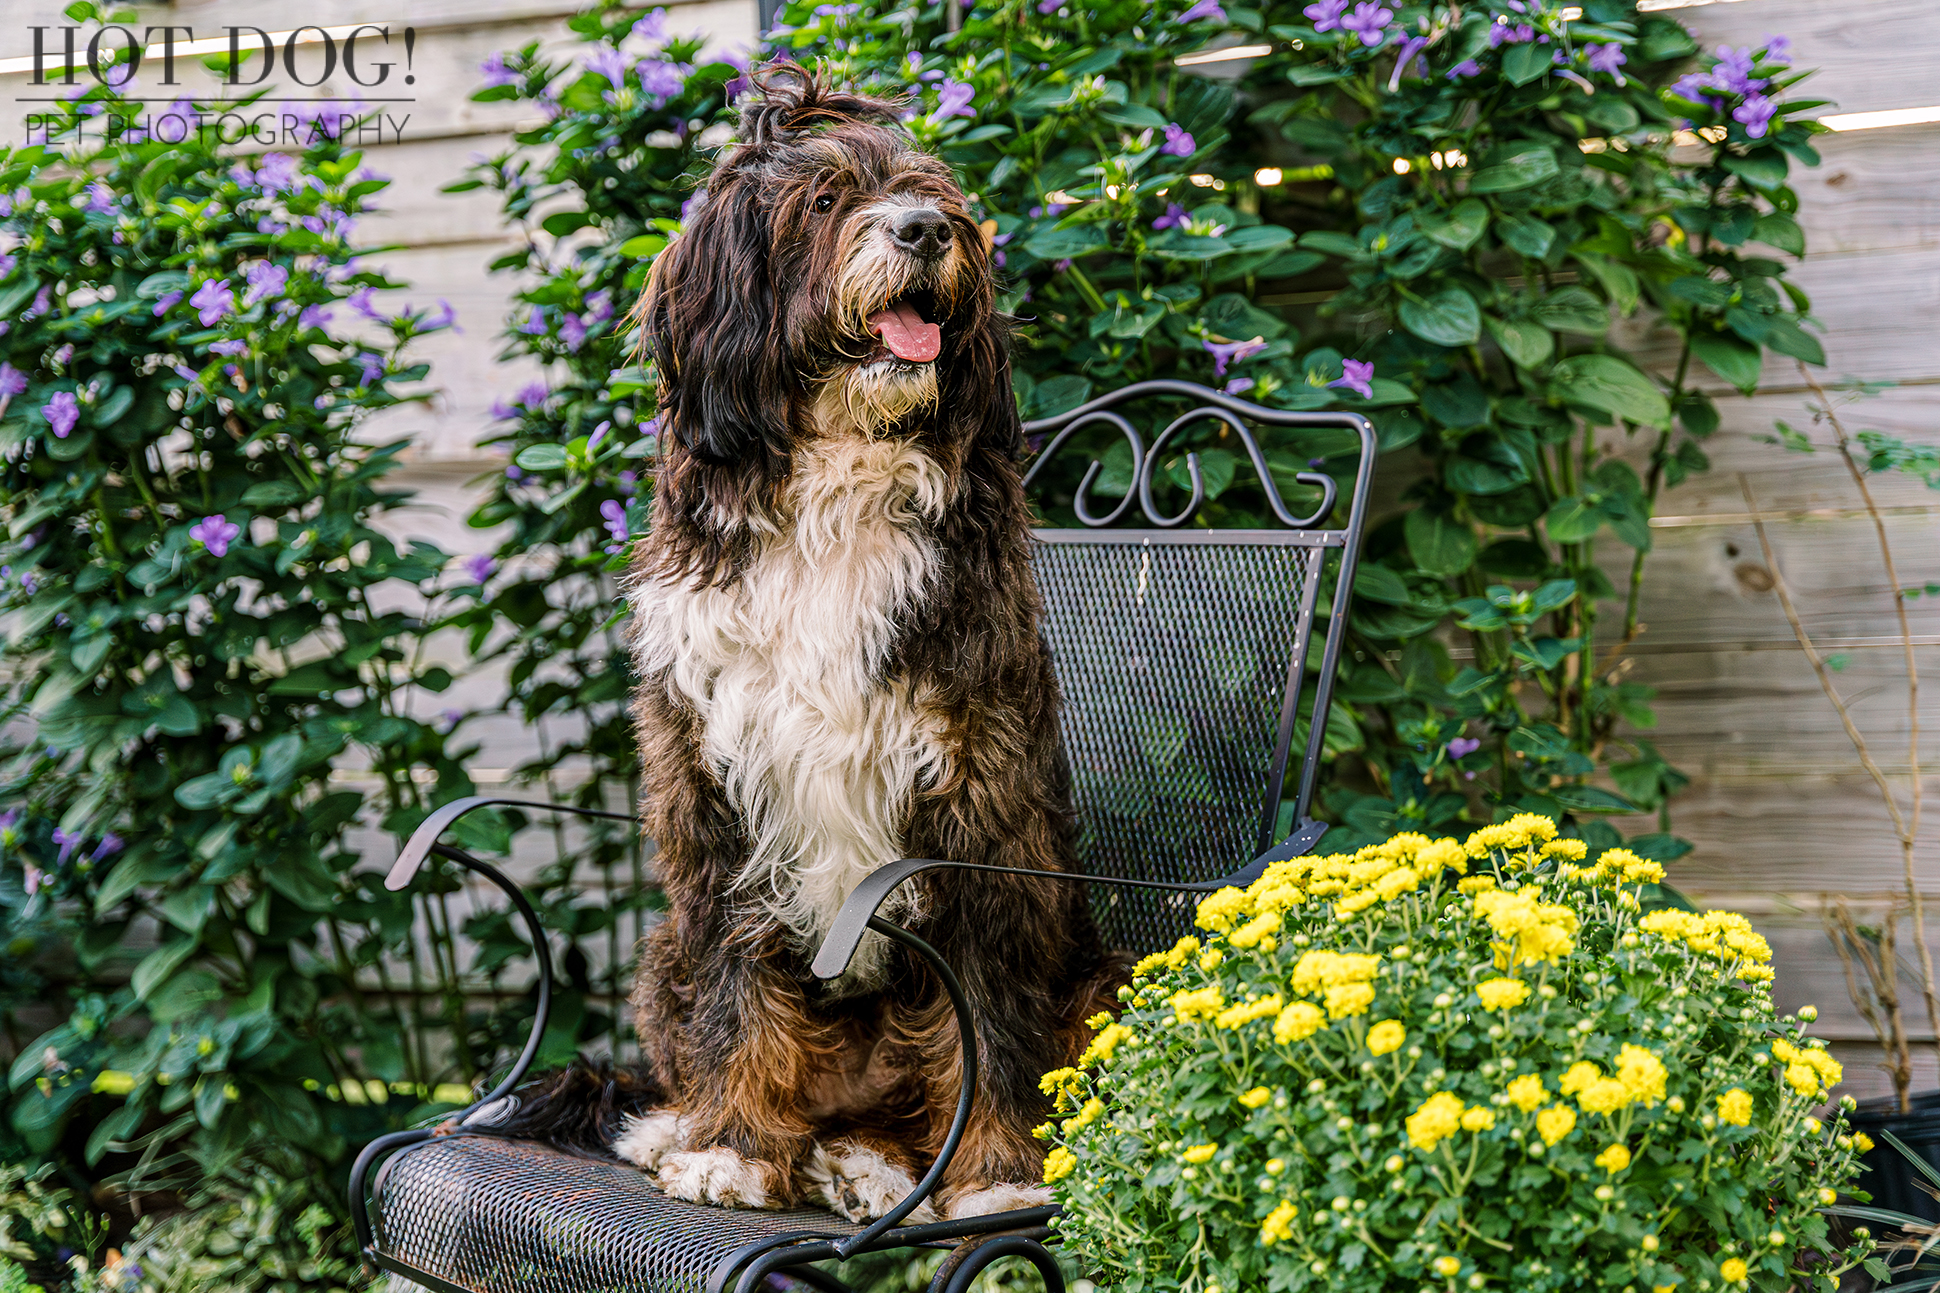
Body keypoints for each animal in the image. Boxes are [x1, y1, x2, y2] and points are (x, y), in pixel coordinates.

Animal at [504, 67, 1125, 1219]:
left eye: (931, 193)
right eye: (827, 201)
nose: (926, 231)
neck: (836, 481)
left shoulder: (976, 801)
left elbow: (988, 1006)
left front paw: (997, 1173)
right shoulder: (718, 786)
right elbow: (742, 993)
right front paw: (734, 1148)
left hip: (1095, 972)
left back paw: (873, 1165)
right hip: (663, 958)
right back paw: (720, 1135)